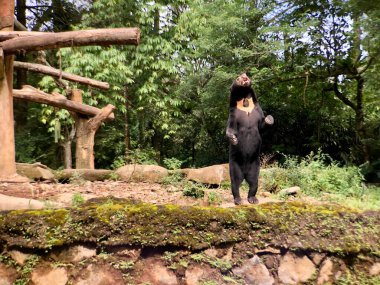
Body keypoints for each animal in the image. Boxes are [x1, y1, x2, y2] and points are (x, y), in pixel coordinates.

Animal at [226, 72, 274, 203]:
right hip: (234, 164)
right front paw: (233, 138)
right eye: (237, 78)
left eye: (244, 75)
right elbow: (231, 127)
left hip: (255, 166)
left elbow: (261, 125)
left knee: (254, 182)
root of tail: (245, 174)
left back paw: (252, 199)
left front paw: (269, 119)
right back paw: (238, 199)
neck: (244, 99)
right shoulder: (234, 112)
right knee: (235, 182)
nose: (244, 75)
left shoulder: (257, 109)